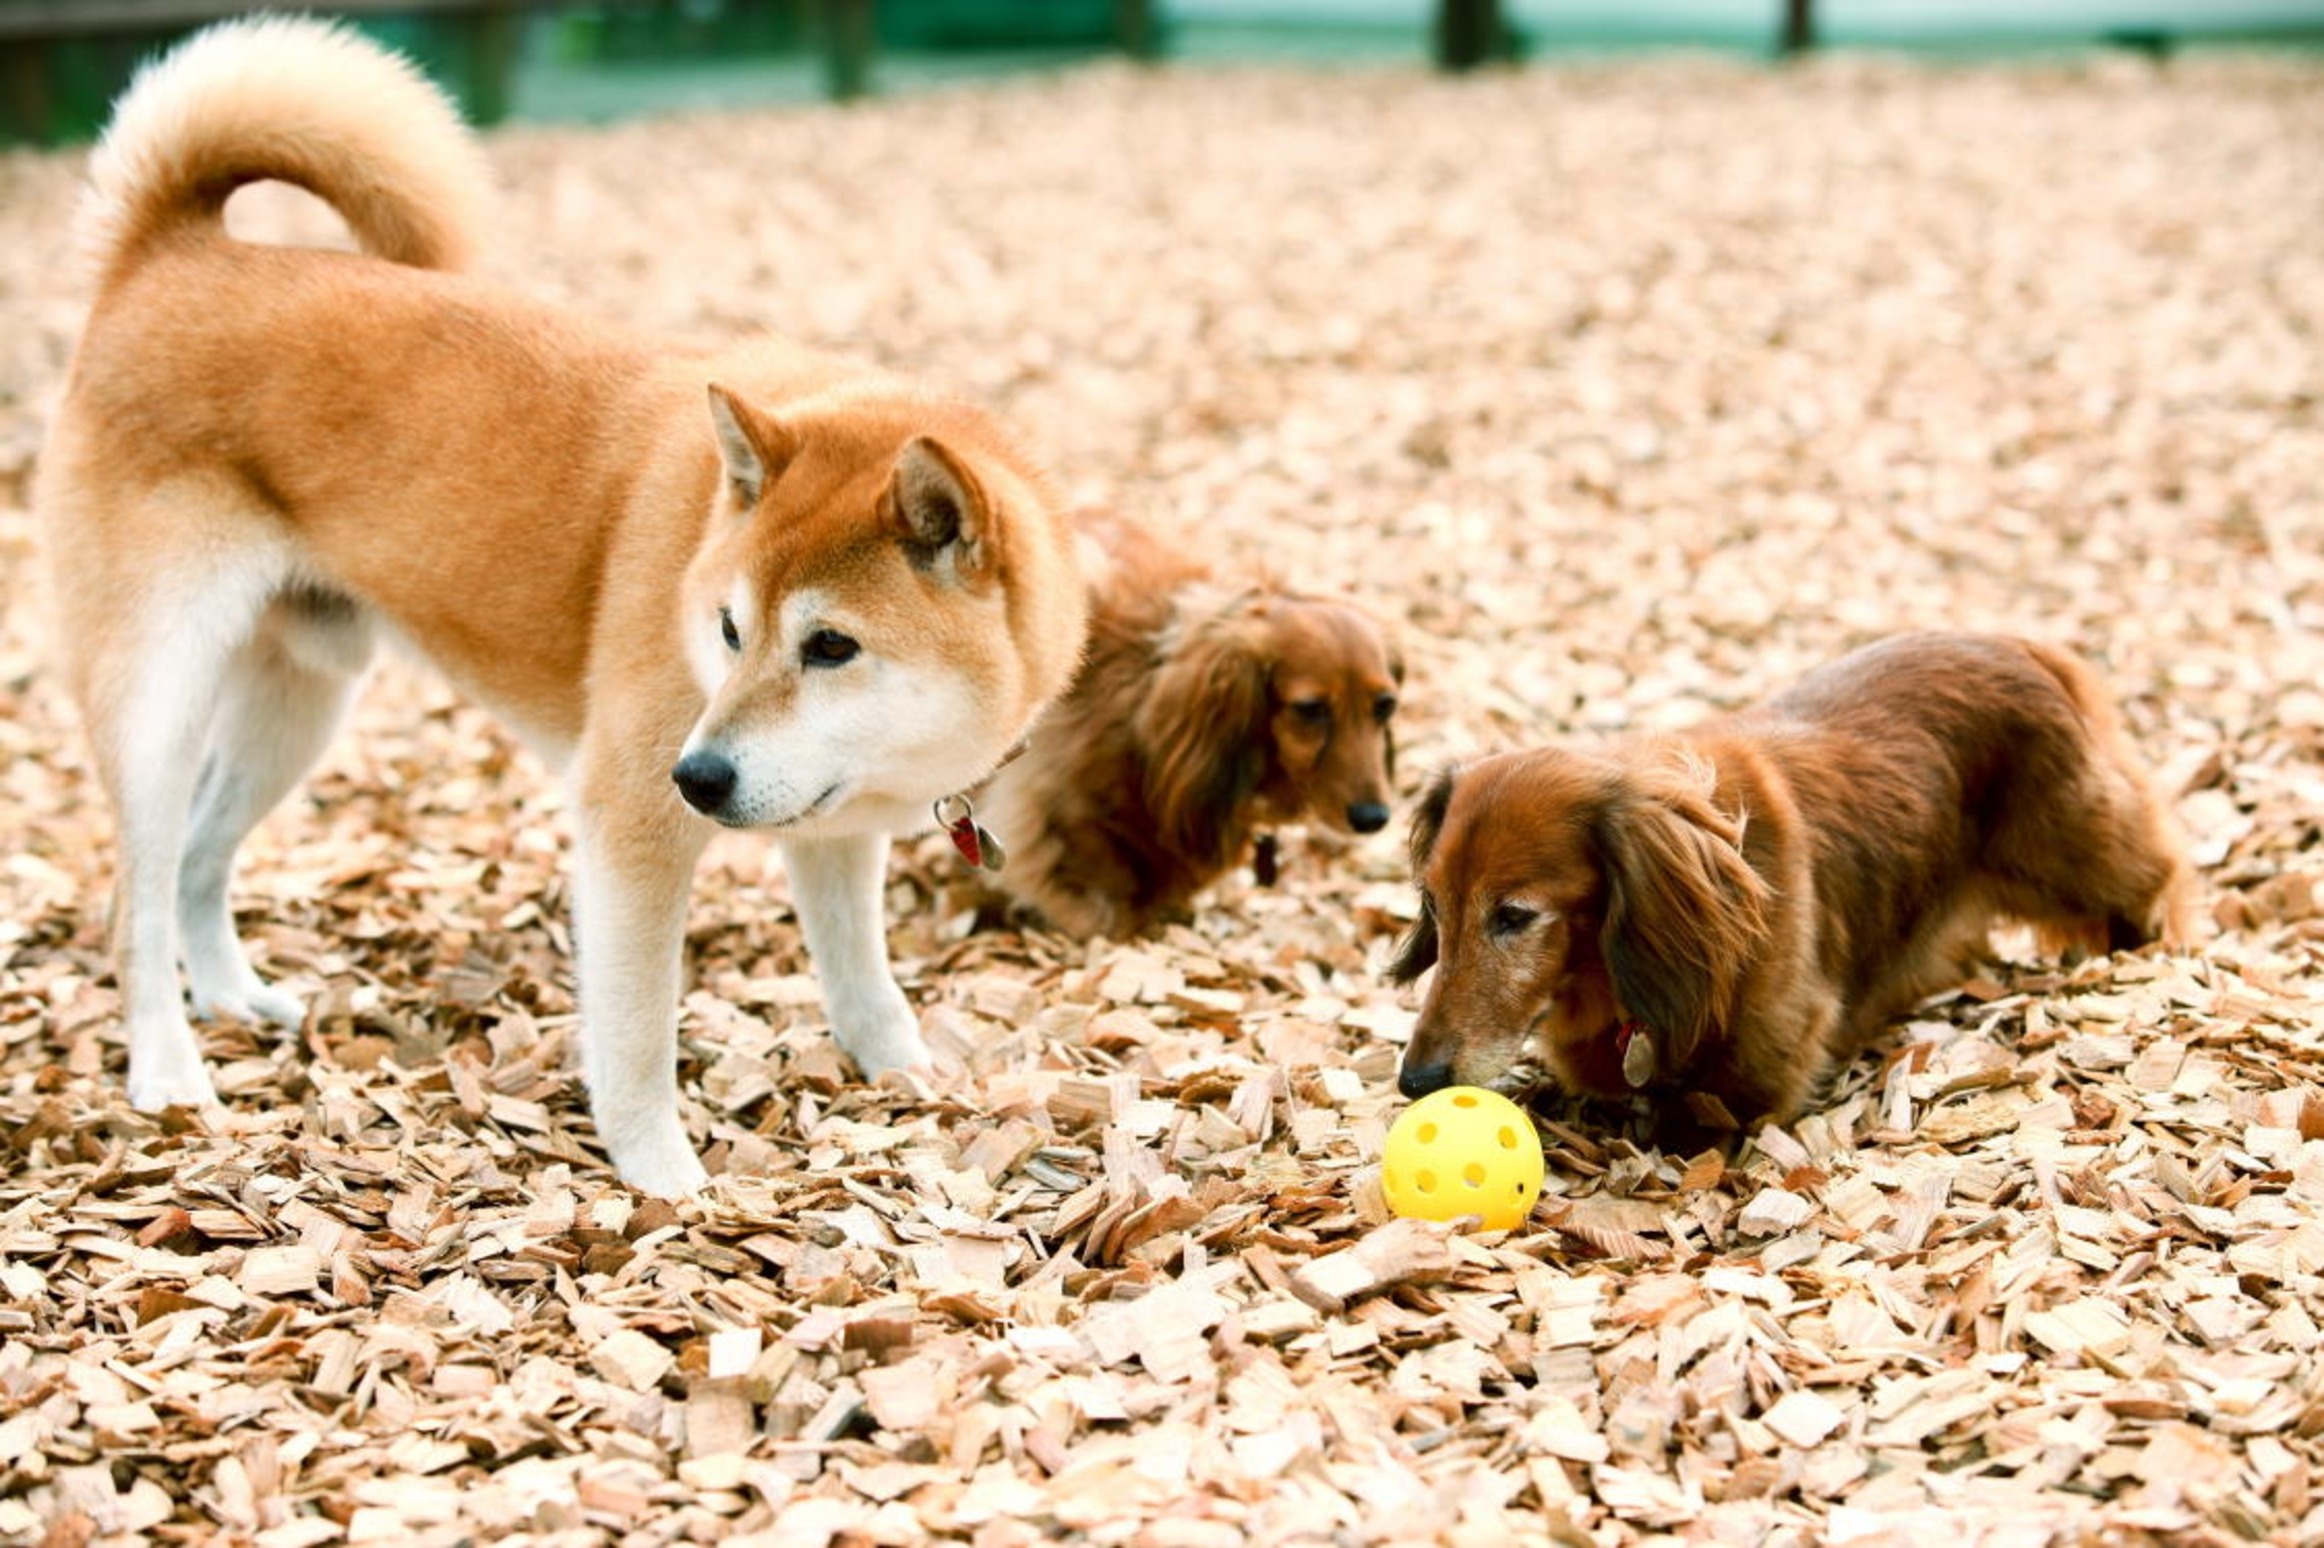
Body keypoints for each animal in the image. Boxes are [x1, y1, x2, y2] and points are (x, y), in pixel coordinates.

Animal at [36, 15, 1087, 1190]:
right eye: (729, 631)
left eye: (829, 646)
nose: (699, 775)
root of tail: (168, 254)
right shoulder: (627, 822)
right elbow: (635, 1034)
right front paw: (663, 1179)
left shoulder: (829, 831)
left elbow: (865, 985)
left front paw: (910, 1082)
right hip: (159, 701)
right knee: (135, 900)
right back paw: (169, 1074)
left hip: (298, 705)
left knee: (199, 860)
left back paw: (229, 997)